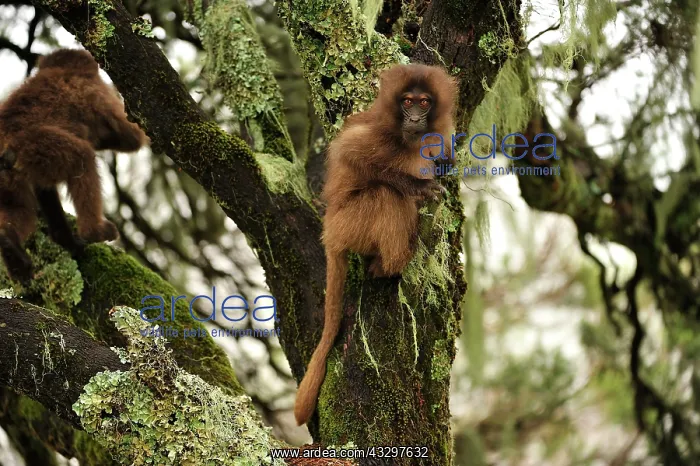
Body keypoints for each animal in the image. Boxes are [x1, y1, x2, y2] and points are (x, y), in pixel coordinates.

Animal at [0, 49, 147, 283]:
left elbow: (44, 191)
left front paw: (64, 238)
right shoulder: (95, 90)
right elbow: (131, 138)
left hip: (9, 178)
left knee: (19, 206)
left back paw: (10, 245)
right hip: (33, 147)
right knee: (82, 157)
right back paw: (94, 231)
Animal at [294, 64, 457, 425]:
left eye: (424, 102)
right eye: (407, 101)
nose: (414, 118)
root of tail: (329, 232)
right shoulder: (371, 137)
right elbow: (351, 155)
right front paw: (419, 187)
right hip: (349, 223)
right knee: (386, 194)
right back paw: (392, 263)